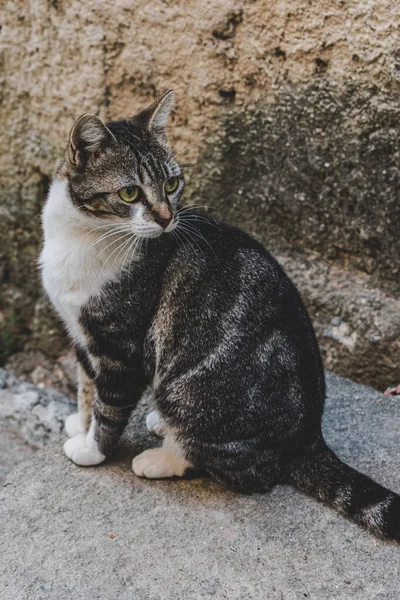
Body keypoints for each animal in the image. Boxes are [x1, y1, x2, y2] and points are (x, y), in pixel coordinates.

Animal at [39, 91, 398, 540]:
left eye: (171, 184)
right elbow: (86, 388)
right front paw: (79, 422)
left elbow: (109, 404)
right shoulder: (82, 335)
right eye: (129, 193)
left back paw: (160, 458)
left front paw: (91, 449)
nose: (166, 218)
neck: (83, 237)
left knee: (242, 469)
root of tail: (308, 440)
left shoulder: (120, 345)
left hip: (191, 388)